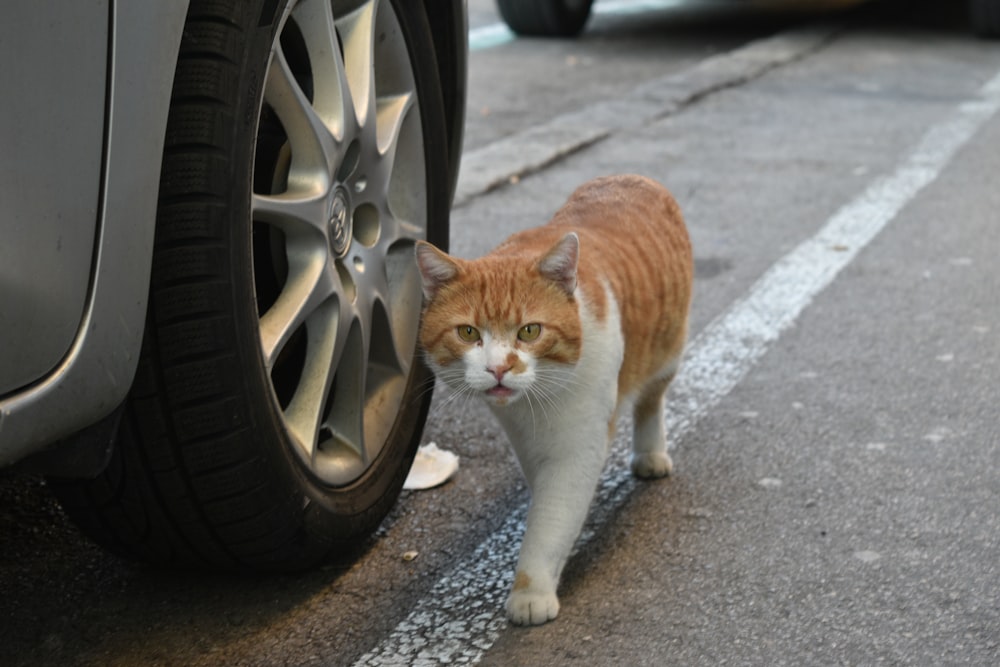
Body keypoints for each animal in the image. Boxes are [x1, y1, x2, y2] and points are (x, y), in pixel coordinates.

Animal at [416, 174, 696, 628]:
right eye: (468, 333)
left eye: (530, 331)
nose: (499, 368)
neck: (535, 406)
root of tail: (633, 176)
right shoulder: (526, 441)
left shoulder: (576, 450)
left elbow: (552, 517)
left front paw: (531, 591)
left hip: (667, 351)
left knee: (651, 402)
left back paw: (651, 454)